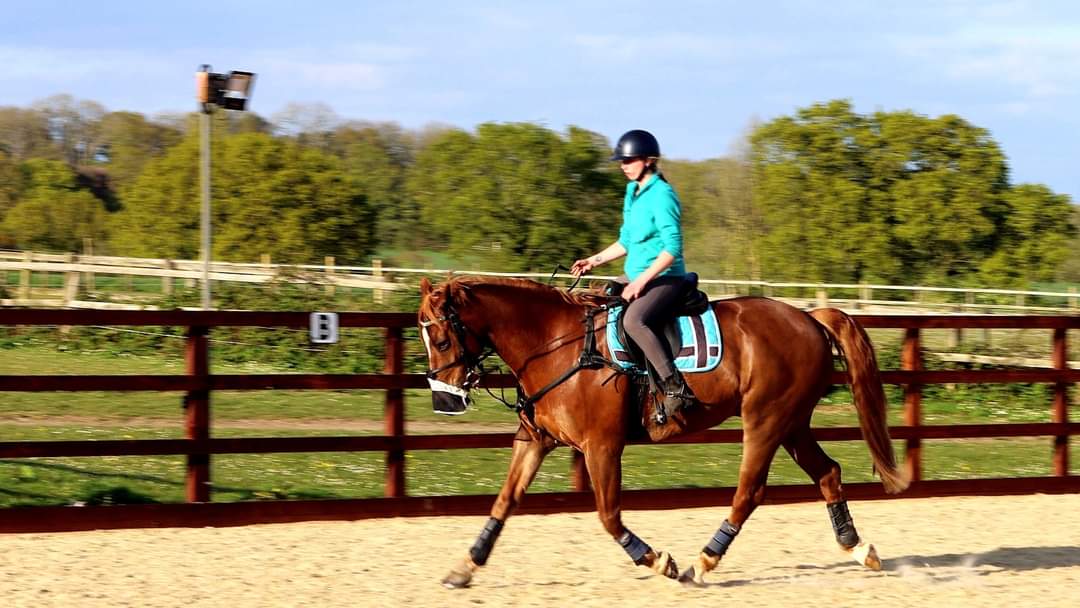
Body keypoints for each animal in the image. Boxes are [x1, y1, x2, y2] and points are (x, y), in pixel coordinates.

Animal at [417, 275, 908, 587]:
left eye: (441, 339)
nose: (446, 400)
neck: (558, 346)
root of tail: (807, 317)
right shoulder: (535, 441)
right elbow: (503, 502)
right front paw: (465, 567)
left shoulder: (601, 447)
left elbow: (608, 515)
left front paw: (657, 561)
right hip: (792, 424)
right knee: (827, 472)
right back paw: (857, 548)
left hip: (765, 419)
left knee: (749, 491)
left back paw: (703, 562)